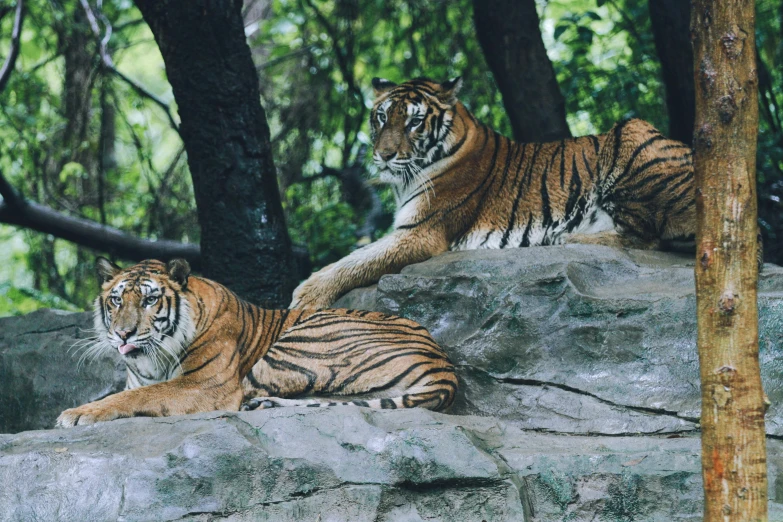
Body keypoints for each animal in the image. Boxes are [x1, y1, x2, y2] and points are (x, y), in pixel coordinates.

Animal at [55, 256, 456, 426]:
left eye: (150, 300)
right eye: (116, 301)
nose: (123, 333)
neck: (150, 360)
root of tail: (445, 367)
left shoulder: (207, 385)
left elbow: (141, 396)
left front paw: (77, 414)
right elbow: (133, 392)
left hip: (292, 347)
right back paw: (264, 407)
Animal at [290, 75, 700, 306]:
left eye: (415, 122)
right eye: (381, 117)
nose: (383, 155)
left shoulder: (419, 233)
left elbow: (354, 261)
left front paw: (304, 297)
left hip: (632, 133)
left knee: (648, 237)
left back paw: (568, 237)